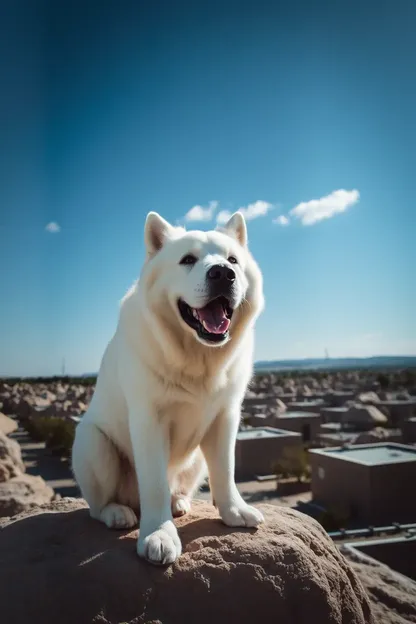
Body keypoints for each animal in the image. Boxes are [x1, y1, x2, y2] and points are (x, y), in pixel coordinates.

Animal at [72, 211, 264, 564]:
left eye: (233, 260)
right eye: (187, 260)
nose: (223, 273)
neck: (198, 358)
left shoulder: (226, 417)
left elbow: (226, 469)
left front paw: (235, 512)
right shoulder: (149, 419)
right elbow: (155, 484)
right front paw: (158, 536)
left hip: (194, 460)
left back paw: (178, 502)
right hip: (92, 442)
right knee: (97, 506)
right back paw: (117, 513)